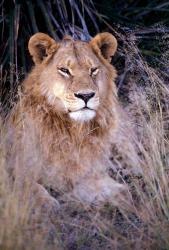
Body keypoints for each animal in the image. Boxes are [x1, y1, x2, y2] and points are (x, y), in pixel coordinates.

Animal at [6, 32, 127, 210]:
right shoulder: (13, 168)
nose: (86, 95)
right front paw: (48, 205)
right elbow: (29, 188)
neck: (73, 132)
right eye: (64, 70)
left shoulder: (84, 174)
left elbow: (119, 189)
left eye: (93, 70)